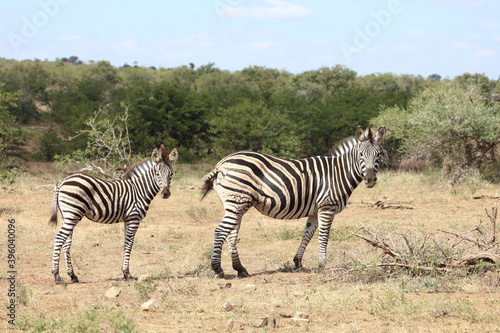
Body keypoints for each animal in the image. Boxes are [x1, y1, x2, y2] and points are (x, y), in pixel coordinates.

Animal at [49, 145, 179, 282]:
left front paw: (124, 272)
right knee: (59, 238)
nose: (165, 193)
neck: (139, 190)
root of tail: (63, 180)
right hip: (73, 213)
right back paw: (56, 275)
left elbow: (126, 243)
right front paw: (127, 274)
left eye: (171, 174)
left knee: (66, 242)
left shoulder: (127, 219)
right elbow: (129, 244)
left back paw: (72, 275)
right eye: (157, 173)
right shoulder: (134, 218)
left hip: (67, 215)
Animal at [201, 126, 384, 276]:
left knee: (231, 234)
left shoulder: (315, 211)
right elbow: (324, 236)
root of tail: (221, 163)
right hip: (237, 202)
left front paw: (297, 262)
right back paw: (218, 269)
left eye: (378, 155)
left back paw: (240, 269)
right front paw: (323, 265)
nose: (370, 179)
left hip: (235, 204)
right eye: (361, 155)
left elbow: (307, 235)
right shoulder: (327, 207)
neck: (338, 173)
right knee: (220, 231)